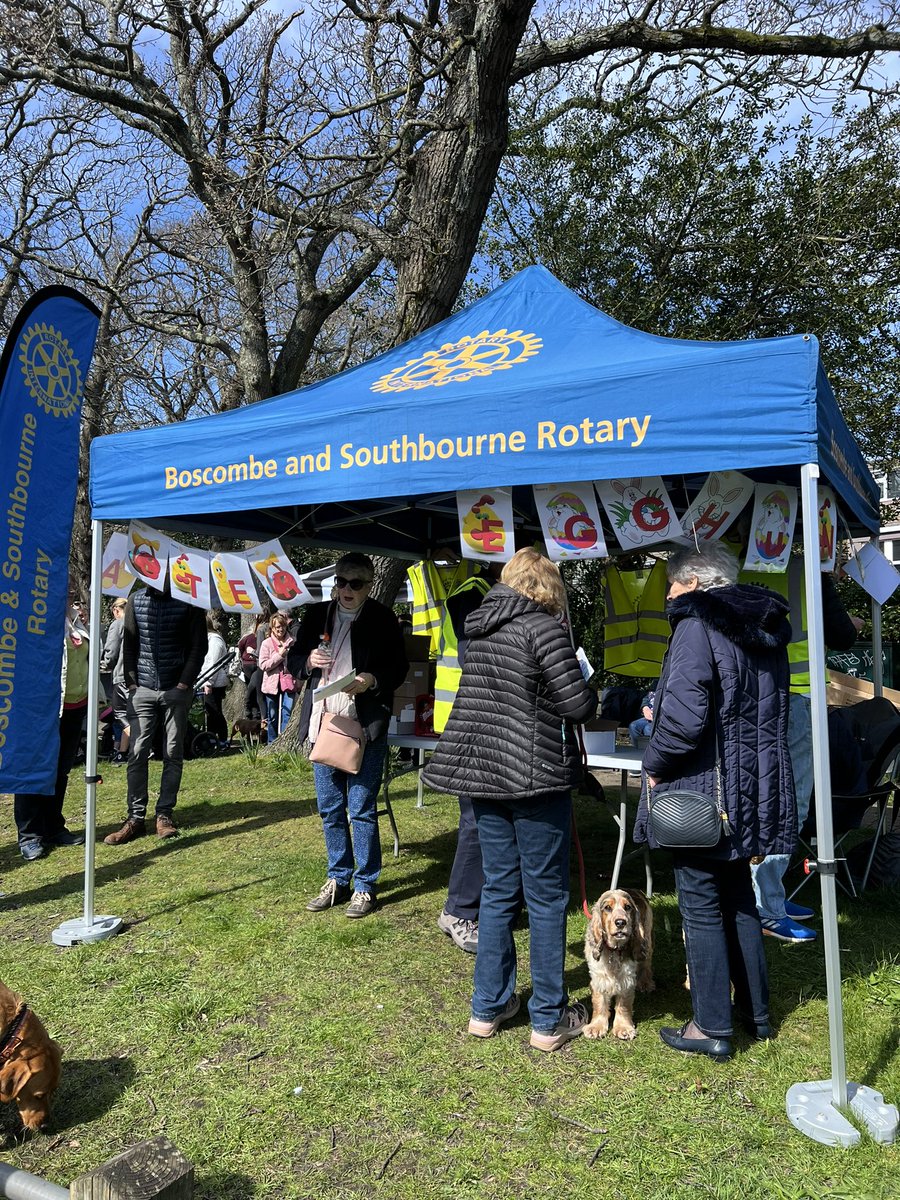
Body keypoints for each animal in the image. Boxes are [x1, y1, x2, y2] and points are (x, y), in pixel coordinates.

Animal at [585, 883, 657, 1041]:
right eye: (607, 908)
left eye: (628, 907)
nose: (621, 922)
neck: (614, 950)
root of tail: (634, 889)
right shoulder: (599, 977)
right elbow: (599, 1002)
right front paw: (596, 1027)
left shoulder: (626, 979)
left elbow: (623, 1005)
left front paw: (623, 1028)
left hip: (647, 940)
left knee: (646, 964)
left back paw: (645, 983)